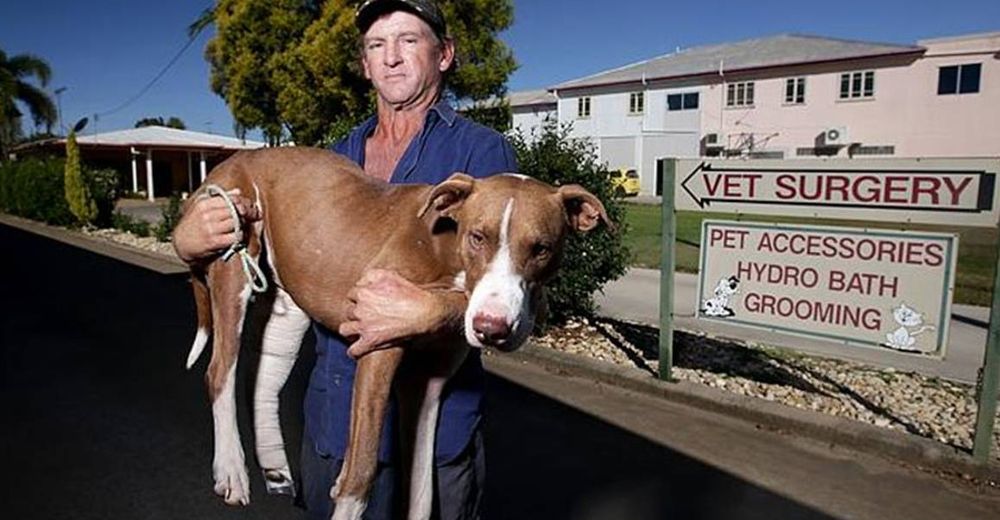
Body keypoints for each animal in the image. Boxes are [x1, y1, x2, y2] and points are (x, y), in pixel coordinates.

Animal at [185, 146, 612, 520]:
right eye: (478, 237)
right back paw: (231, 470)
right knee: (220, 371)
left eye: (541, 249)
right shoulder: (378, 346)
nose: (492, 329)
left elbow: (421, 486)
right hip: (233, 260)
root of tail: (233, 160)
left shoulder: (429, 384)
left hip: (286, 303)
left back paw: (274, 468)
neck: (447, 249)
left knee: (262, 376)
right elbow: (361, 472)